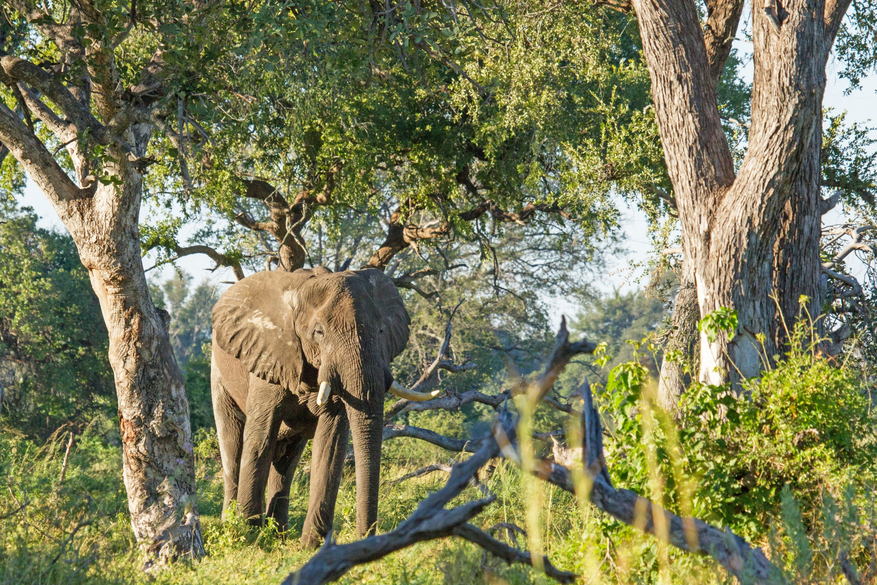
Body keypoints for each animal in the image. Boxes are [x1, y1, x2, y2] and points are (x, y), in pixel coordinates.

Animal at [210, 266, 434, 544]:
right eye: (319, 333)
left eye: (381, 331)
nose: (364, 537)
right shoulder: (269, 357)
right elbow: (260, 437)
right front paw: (249, 537)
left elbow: (331, 442)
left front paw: (311, 545)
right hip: (218, 373)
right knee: (233, 446)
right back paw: (234, 527)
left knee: (286, 461)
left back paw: (279, 536)